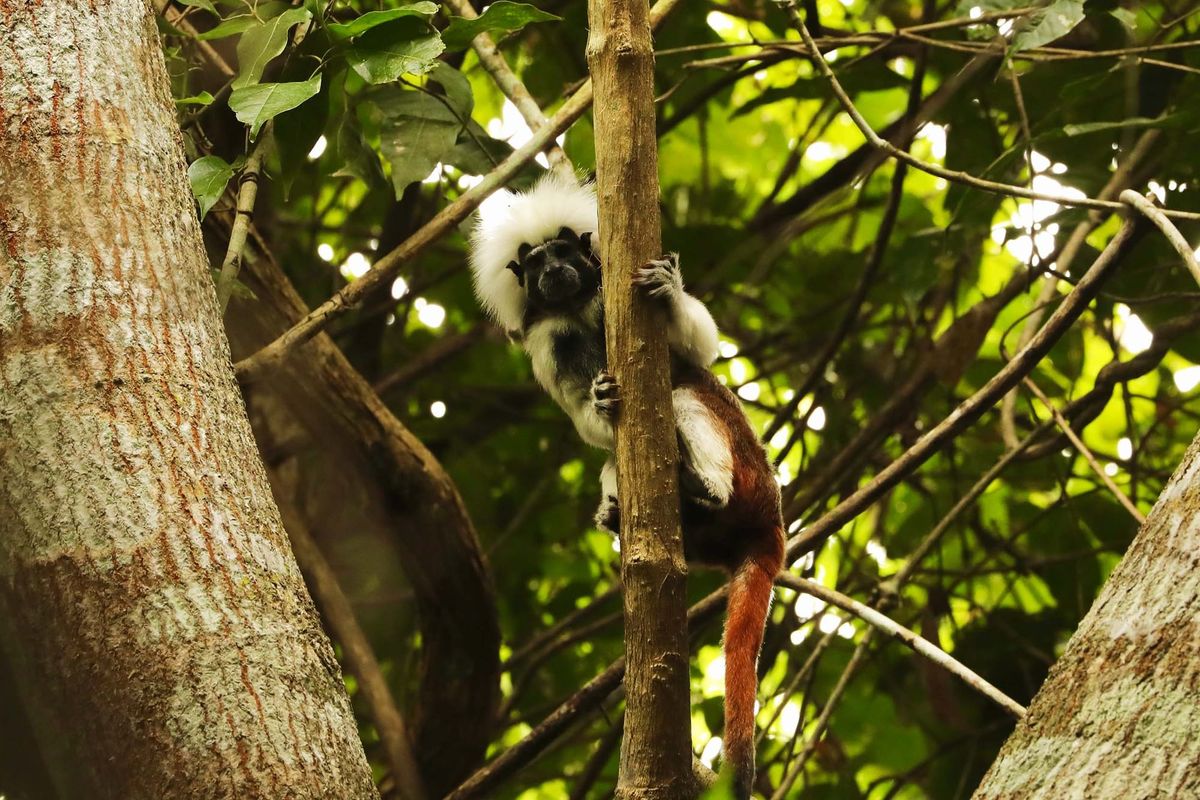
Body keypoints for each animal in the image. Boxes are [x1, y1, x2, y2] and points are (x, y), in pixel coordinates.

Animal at [470, 175, 784, 799]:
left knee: (687, 391)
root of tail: (769, 526)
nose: (552, 272)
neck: (576, 307)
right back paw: (630, 512)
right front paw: (597, 402)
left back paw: (705, 486)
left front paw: (670, 290)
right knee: (617, 460)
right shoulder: (547, 342)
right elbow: (586, 420)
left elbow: (701, 347)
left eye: (562, 254)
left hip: (750, 471)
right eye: (534, 264)